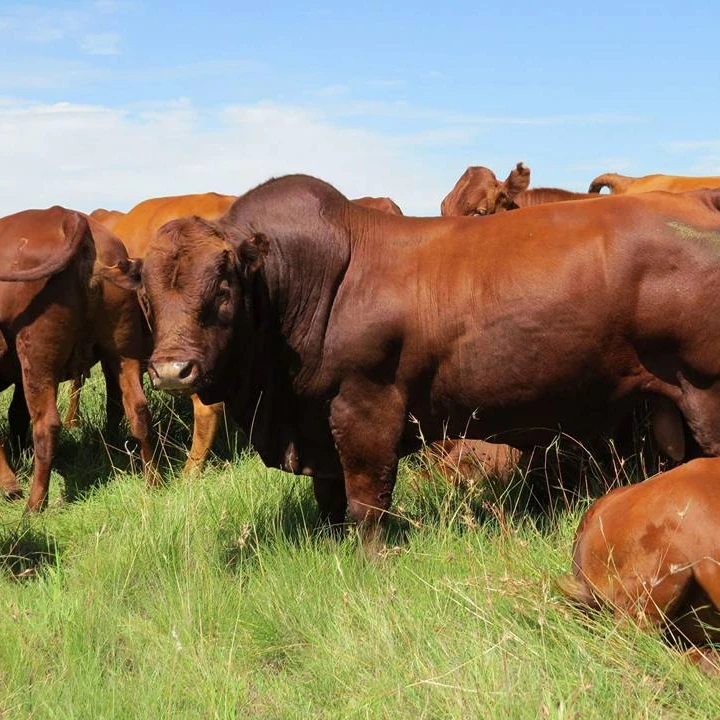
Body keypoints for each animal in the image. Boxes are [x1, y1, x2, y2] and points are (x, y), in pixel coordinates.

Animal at [0, 207, 157, 511]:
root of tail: (69, 216)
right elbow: (16, 414)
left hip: (36, 356)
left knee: (47, 426)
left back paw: (34, 507)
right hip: (122, 350)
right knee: (138, 408)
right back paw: (153, 481)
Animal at [105, 174, 720, 544]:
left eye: (224, 286)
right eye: (147, 294)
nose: (171, 370)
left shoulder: (366, 407)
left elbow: (367, 500)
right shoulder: (317, 425)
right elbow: (331, 498)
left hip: (706, 394)